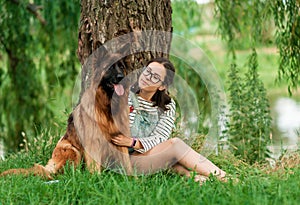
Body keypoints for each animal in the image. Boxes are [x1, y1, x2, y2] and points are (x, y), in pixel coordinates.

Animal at [0, 53, 132, 179]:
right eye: (110, 67)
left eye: (121, 67)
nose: (121, 77)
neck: (106, 106)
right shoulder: (93, 142)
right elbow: (94, 166)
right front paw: (97, 179)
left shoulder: (120, 139)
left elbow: (126, 162)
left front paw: (130, 179)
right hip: (72, 150)